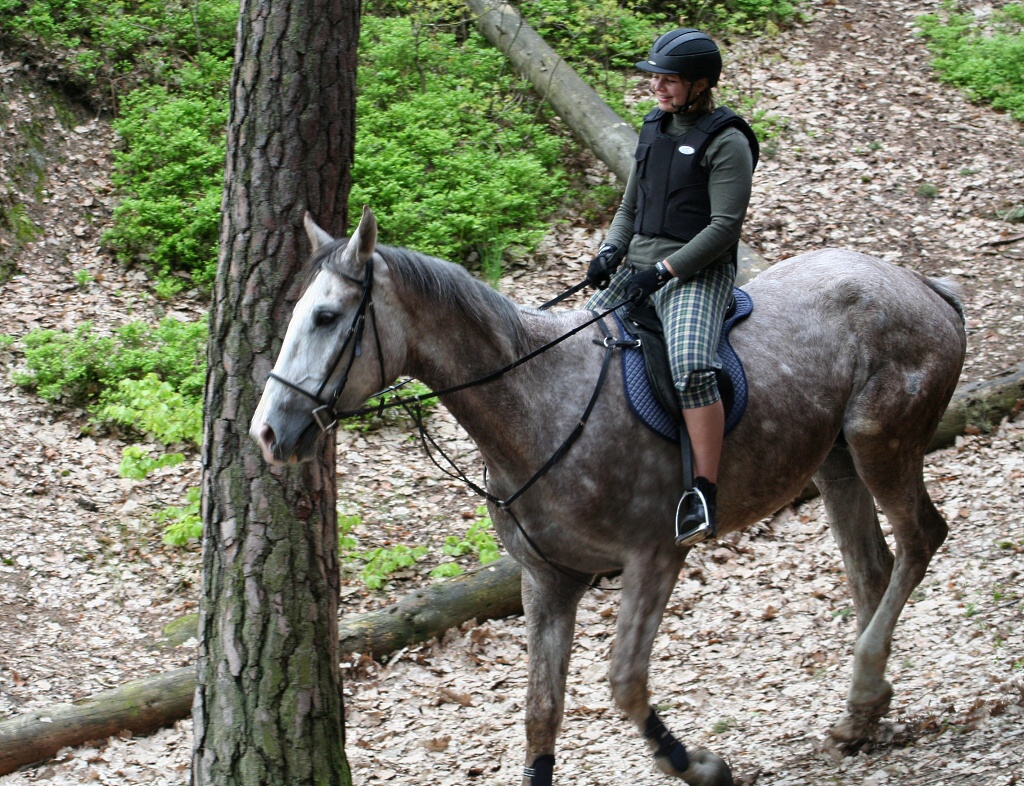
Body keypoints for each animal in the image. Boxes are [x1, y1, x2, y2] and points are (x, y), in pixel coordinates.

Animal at [249, 208, 966, 786]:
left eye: (326, 317)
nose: (268, 433)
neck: (538, 404)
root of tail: (923, 285)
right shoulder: (548, 578)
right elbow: (541, 712)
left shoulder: (653, 557)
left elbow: (623, 682)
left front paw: (700, 765)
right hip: (837, 464)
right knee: (872, 568)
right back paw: (864, 712)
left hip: (881, 445)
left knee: (920, 540)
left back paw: (866, 684)